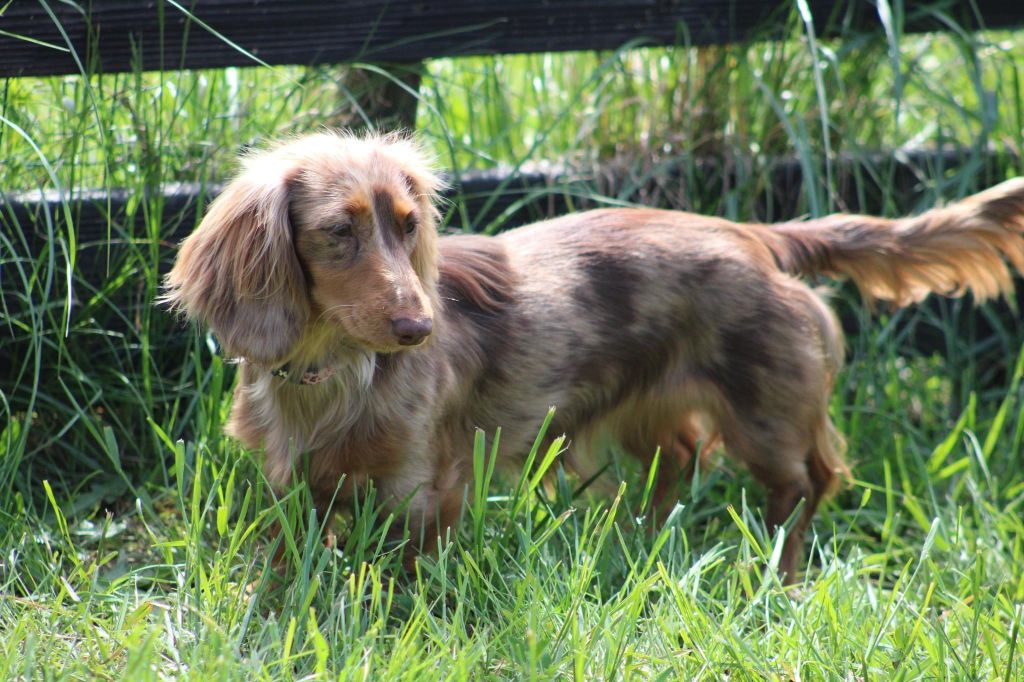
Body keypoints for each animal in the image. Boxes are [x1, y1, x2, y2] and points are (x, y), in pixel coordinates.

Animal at [163, 131, 1024, 578]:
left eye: (409, 226)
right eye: (339, 232)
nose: (419, 327)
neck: (336, 369)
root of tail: (756, 234)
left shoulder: (419, 484)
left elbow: (407, 565)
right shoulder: (293, 484)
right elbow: (293, 552)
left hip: (765, 409)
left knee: (806, 482)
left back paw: (773, 572)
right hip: (652, 408)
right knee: (683, 457)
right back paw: (644, 540)